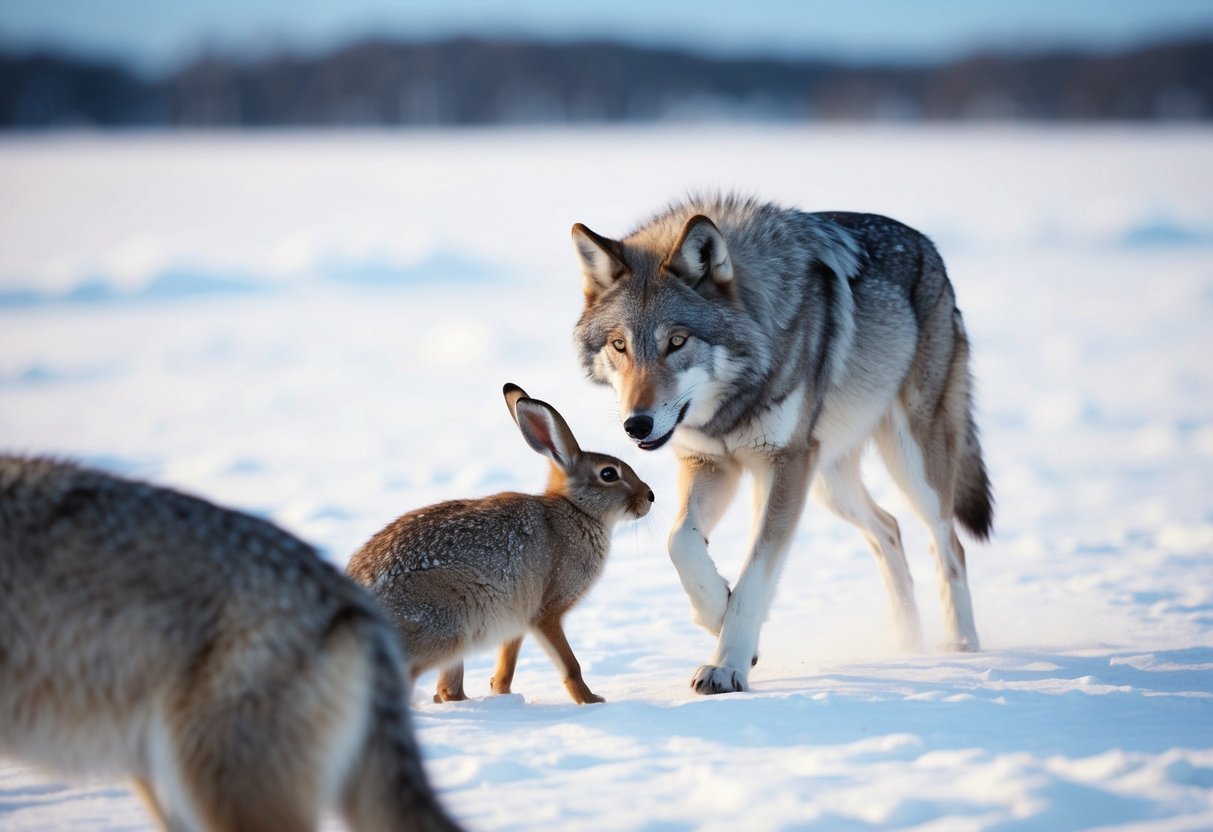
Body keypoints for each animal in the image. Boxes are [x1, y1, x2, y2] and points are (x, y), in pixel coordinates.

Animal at [346, 383, 654, 705]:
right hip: (446, 626)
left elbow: (507, 664)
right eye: (608, 474)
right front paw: (591, 701)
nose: (650, 496)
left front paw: (502, 693)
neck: (576, 509)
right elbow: (570, 665)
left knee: (446, 689)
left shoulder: (518, 619)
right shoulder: (546, 612)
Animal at [571, 194, 993, 695]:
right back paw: (910, 647)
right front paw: (717, 612)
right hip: (828, 483)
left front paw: (727, 664)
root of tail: (930, 248)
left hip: (910, 465)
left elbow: (755, 574)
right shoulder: (713, 464)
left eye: (677, 341)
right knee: (889, 529)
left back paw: (962, 649)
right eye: (620, 345)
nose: (637, 425)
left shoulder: (785, 464)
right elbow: (681, 542)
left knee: (948, 546)